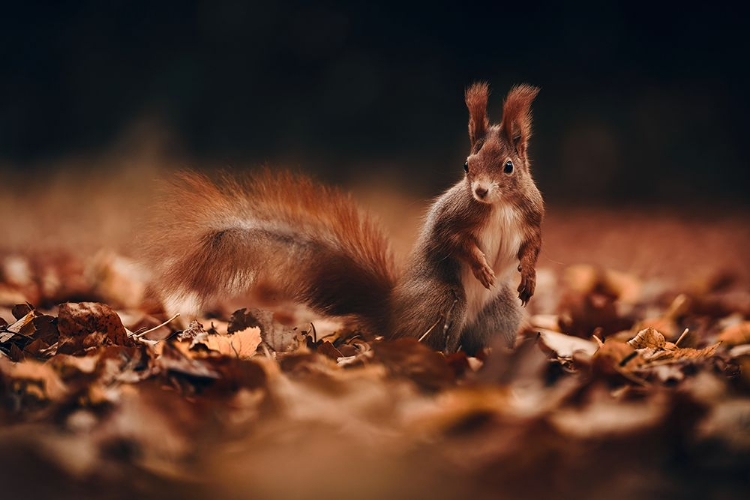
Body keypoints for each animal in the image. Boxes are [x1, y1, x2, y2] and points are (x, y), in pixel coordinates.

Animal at [147, 83, 544, 356]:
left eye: (508, 167)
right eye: (466, 165)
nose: (480, 191)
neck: (499, 206)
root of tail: (392, 314)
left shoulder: (532, 217)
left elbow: (532, 246)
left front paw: (528, 275)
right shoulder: (452, 217)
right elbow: (452, 240)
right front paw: (481, 267)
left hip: (502, 313)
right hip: (444, 301)